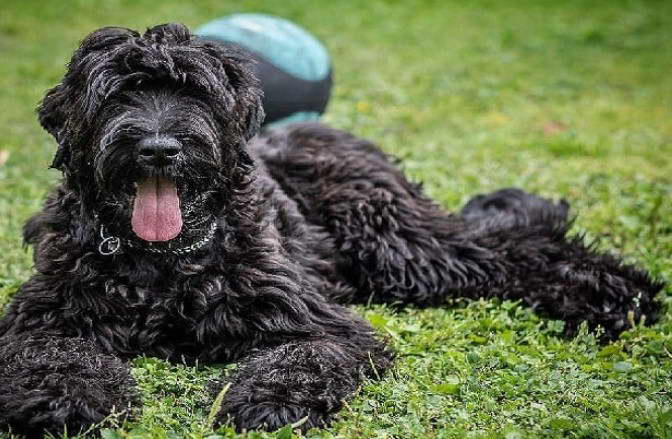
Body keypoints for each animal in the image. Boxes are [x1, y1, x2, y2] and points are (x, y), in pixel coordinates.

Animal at [0, 23, 664, 436]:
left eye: (194, 94)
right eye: (118, 95)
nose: (160, 148)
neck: (163, 263)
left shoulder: (318, 321)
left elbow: (304, 356)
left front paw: (268, 400)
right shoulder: (41, 316)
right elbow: (50, 352)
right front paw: (65, 398)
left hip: (400, 245)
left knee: (510, 247)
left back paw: (619, 293)